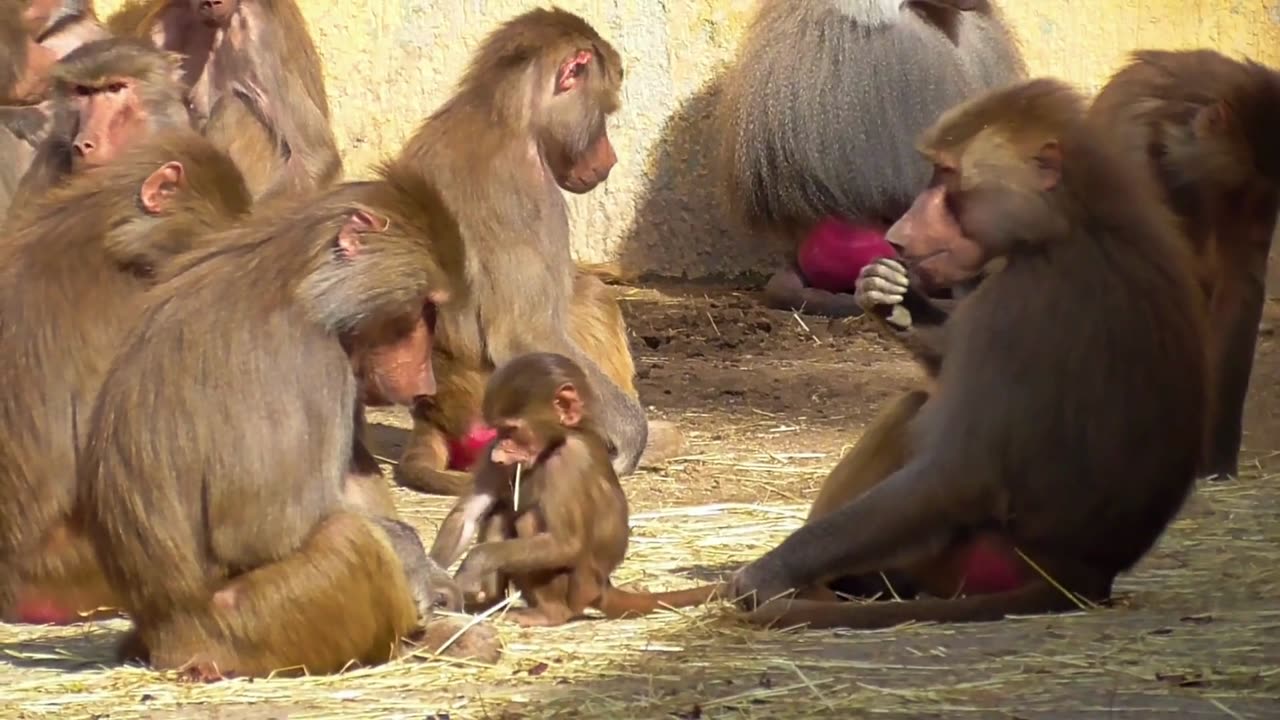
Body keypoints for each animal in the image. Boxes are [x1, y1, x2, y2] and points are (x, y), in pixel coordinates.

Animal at [77, 175, 499, 679]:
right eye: (426, 309)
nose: (425, 381)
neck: (298, 283)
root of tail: (165, 639)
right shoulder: (305, 359)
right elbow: (263, 528)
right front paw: (418, 565)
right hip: (247, 626)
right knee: (347, 539)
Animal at [388, 8, 656, 498]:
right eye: (605, 110)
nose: (609, 161)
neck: (504, 115)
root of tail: (432, 416)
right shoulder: (528, 189)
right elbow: (525, 332)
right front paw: (632, 435)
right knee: (589, 297)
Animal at [429, 352, 722, 627]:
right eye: (498, 431)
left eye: (512, 430)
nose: (500, 452)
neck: (555, 444)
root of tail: (603, 586)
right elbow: (466, 517)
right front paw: (432, 580)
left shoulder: (568, 461)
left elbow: (566, 543)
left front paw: (474, 563)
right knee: (499, 515)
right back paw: (489, 602)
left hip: (579, 589)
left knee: (527, 521)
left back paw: (549, 613)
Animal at [728, 78, 1209, 630]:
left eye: (946, 175)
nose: (897, 235)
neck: (1070, 221)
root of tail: (1085, 574)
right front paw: (891, 296)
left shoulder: (1014, 306)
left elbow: (959, 476)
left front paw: (766, 574)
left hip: (972, 561)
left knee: (915, 418)